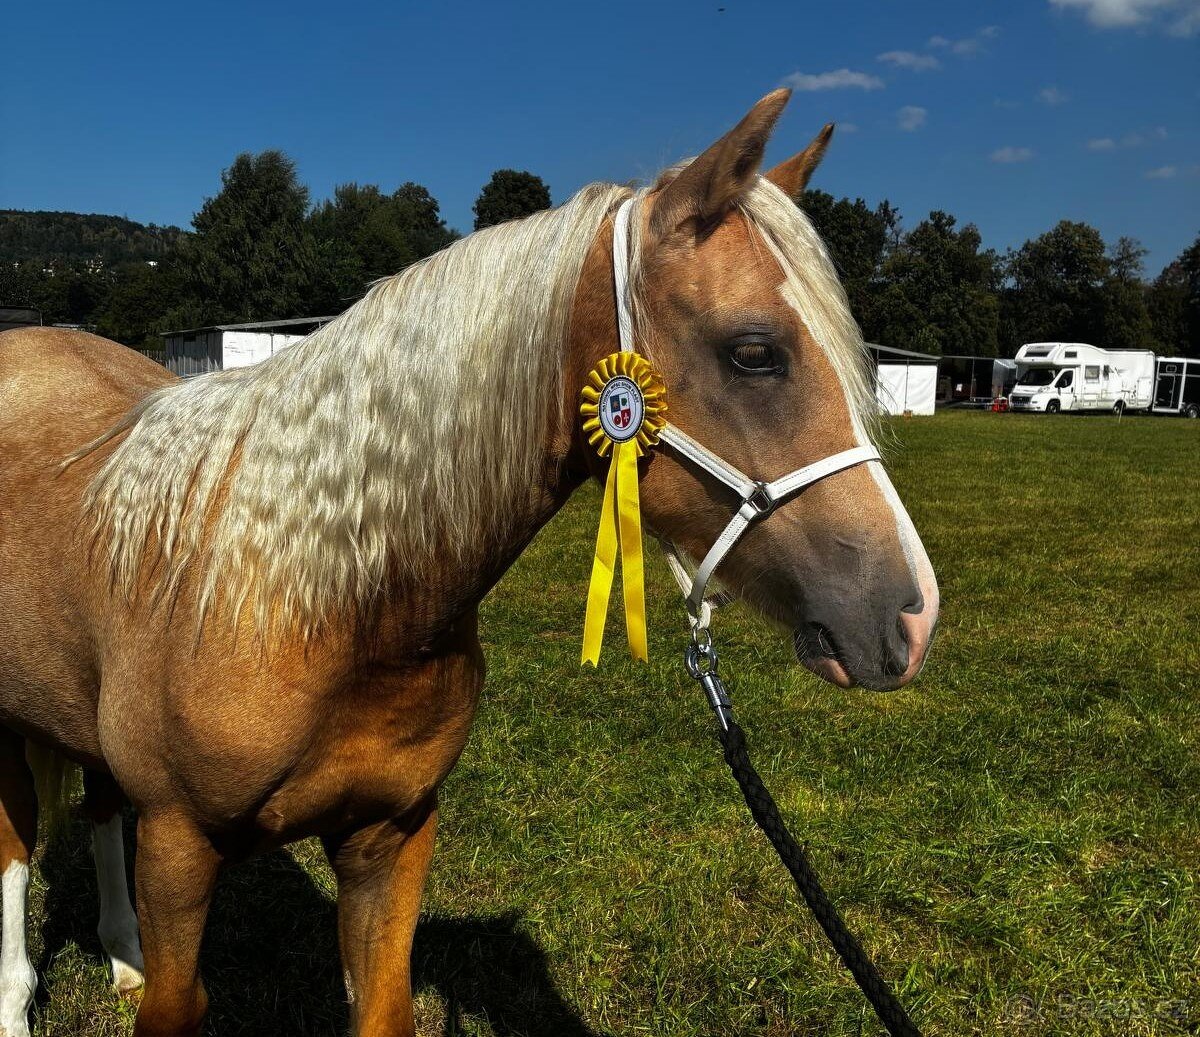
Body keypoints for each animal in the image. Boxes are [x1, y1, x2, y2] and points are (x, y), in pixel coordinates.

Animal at [0, 89, 938, 1036]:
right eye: (754, 351)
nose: (911, 613)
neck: (316, 599)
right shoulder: (179, 847)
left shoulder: (390, 836)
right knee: (16, 846)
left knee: (97, 805)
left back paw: (122, 954)